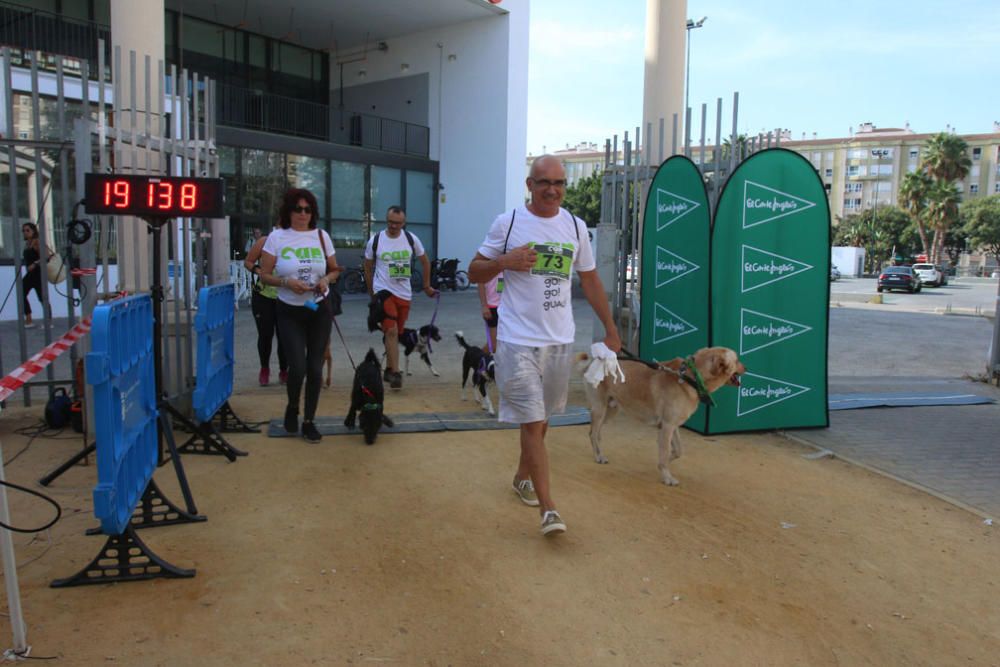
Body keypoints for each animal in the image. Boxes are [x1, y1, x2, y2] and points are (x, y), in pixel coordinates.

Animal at [580, 350, 744, 486]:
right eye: (737, 361)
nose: (746, 367)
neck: (690, 377)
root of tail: (594, 360)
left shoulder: (673, 426)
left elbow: (677, 451)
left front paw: (664, 463)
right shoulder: (668, 426)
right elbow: (665, 452)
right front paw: (667, 476)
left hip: (611, 410)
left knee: (596, 432)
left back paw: (599, 451)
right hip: (600, 409)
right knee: (593, 433)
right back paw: (598, 456)